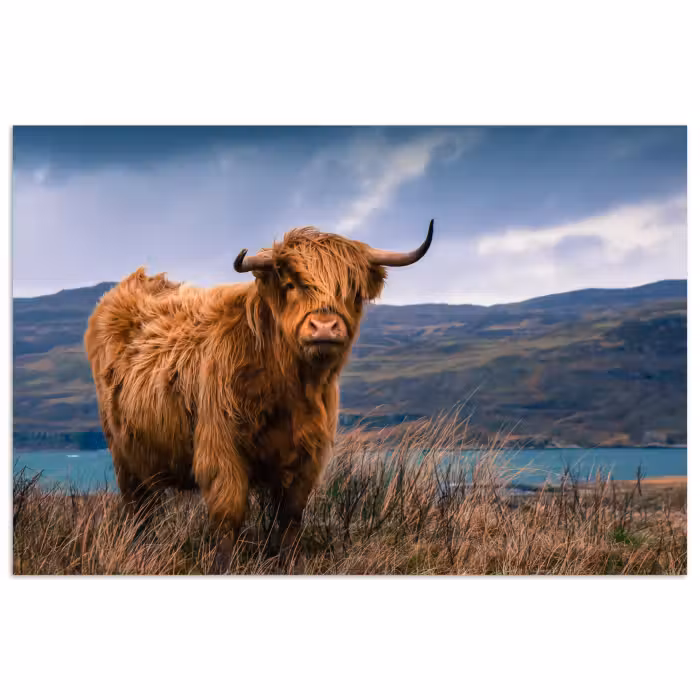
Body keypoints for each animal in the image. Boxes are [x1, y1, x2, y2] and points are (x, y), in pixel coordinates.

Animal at [84, 220, 434, 552]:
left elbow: (290, 522)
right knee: (139, 511)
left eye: (353, 291)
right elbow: (228, 521)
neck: (289, 388)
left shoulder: (307, 458)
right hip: (124, 456)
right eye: (291, 284)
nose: (324, 327)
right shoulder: (221, 451)